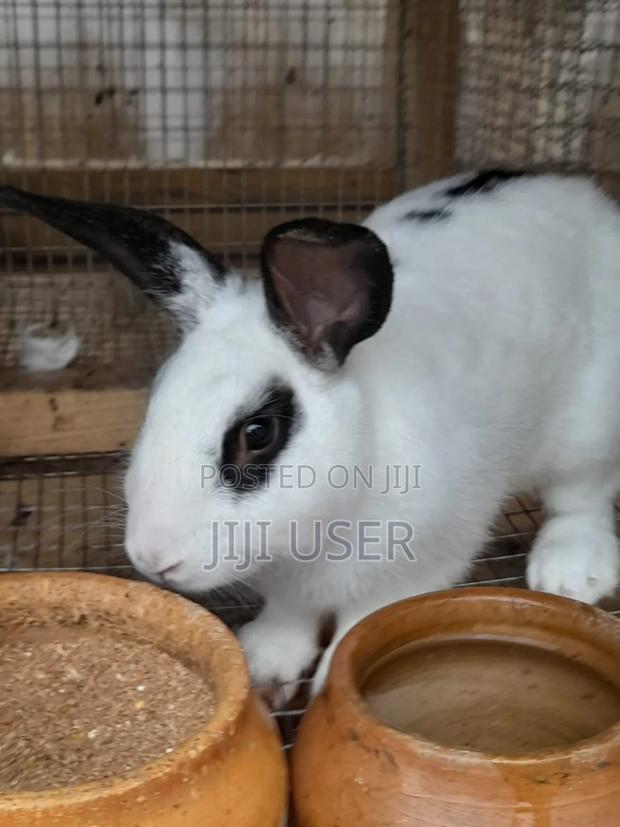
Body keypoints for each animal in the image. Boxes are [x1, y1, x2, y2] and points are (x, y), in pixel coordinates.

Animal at [2, 169, 620, 701]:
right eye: (155, 401)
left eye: (257, 433)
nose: (154, 558)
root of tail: (583, 197)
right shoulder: (287, 590)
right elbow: (289, 621)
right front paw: (263, 667)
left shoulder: (420, 564)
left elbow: (360, 627)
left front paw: (326, 688)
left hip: (587, 432)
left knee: (579, 500)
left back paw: (570, 576)